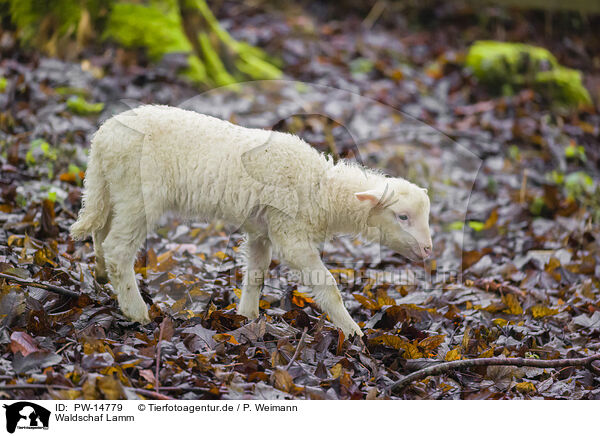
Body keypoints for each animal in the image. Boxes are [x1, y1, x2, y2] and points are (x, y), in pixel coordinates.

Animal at [70, 105, 432, 338]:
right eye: (403, 216)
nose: (429, 250)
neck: (320, 187)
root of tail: (101, 140)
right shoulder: (290, 231)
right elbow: (328, 285)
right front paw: (353, 331)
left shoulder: (263, 229)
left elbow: (256, 273)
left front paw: (247, 316)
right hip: (140, 192)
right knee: (119, 248)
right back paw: (137, 311)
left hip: (114, 187)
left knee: (101, 229)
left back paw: (101, 274)